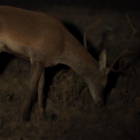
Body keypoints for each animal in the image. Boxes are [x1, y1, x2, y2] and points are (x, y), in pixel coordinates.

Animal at [0, 6, 137, 121]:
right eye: (106, 81)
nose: (101, 103)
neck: (62, 49)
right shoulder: (38, 58)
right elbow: (32, 88)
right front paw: (25, 118)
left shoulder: (44, 62)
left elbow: (41, 87)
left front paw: (43, 116)